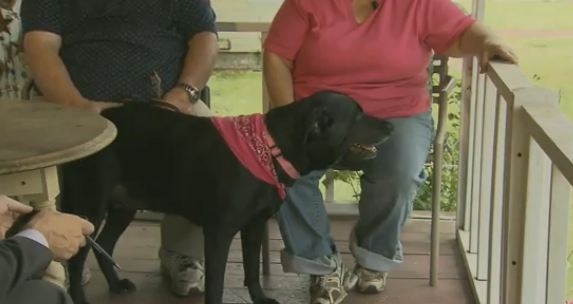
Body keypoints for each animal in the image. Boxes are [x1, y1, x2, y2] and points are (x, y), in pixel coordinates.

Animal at [59, 90, 394, 304]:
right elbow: (216, 285)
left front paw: (260, 298)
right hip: (90, 205)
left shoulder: (255, 225)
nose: (391, 124)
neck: (269, 147)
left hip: (123, 206)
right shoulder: (218, 232)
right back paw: (79, 297)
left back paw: (116, 285)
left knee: (104, 245)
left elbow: (252, 269)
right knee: (75, 260)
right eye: (357, 117)